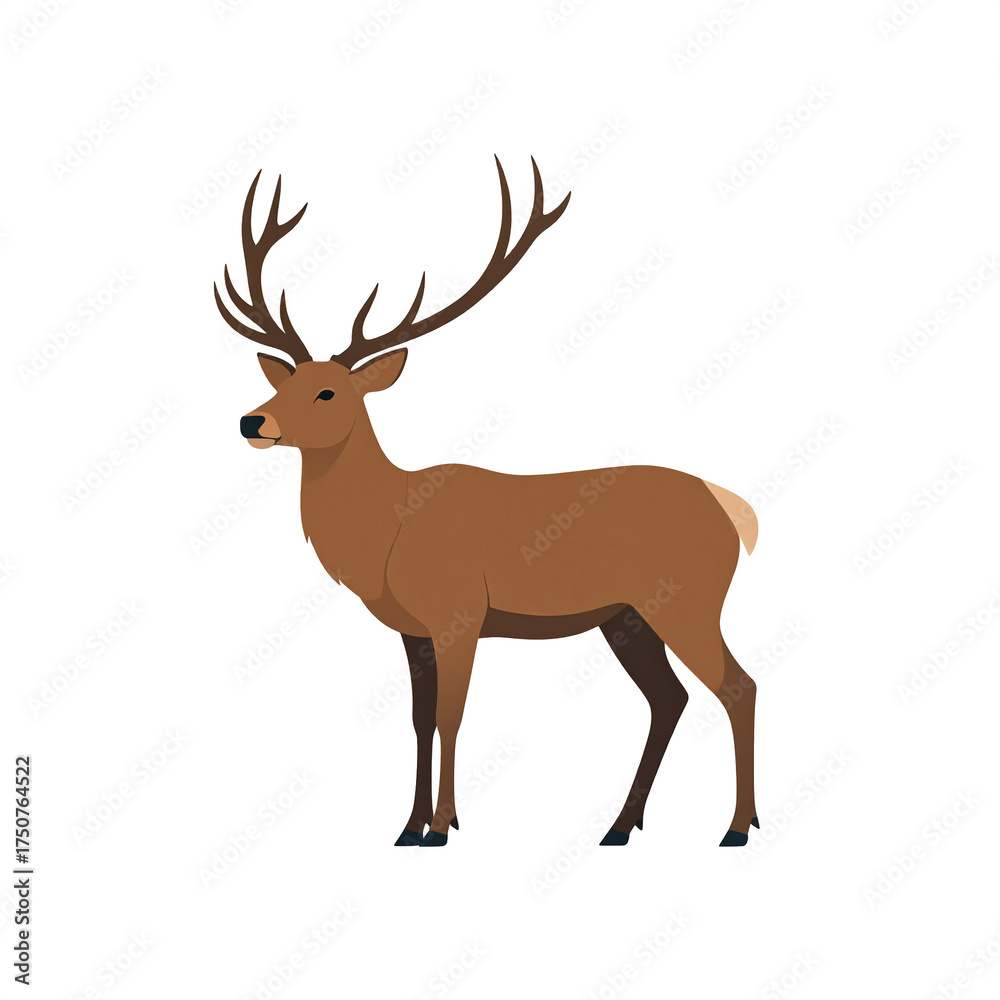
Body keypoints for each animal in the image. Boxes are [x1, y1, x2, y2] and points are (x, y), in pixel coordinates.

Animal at [214, 159, 761, 848]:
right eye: (282, 382)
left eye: (328, 392)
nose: (251, 421)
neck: (387, 533)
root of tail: (734, 510)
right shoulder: (413, 629)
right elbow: (418, 720)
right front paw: (408, 826)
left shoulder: (460, 611)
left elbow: (452, 716)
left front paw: (441, 827)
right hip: (626, 616)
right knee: (670, 699)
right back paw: (619, 826)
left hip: (688, 599)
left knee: (737, 686)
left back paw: (737, 827)